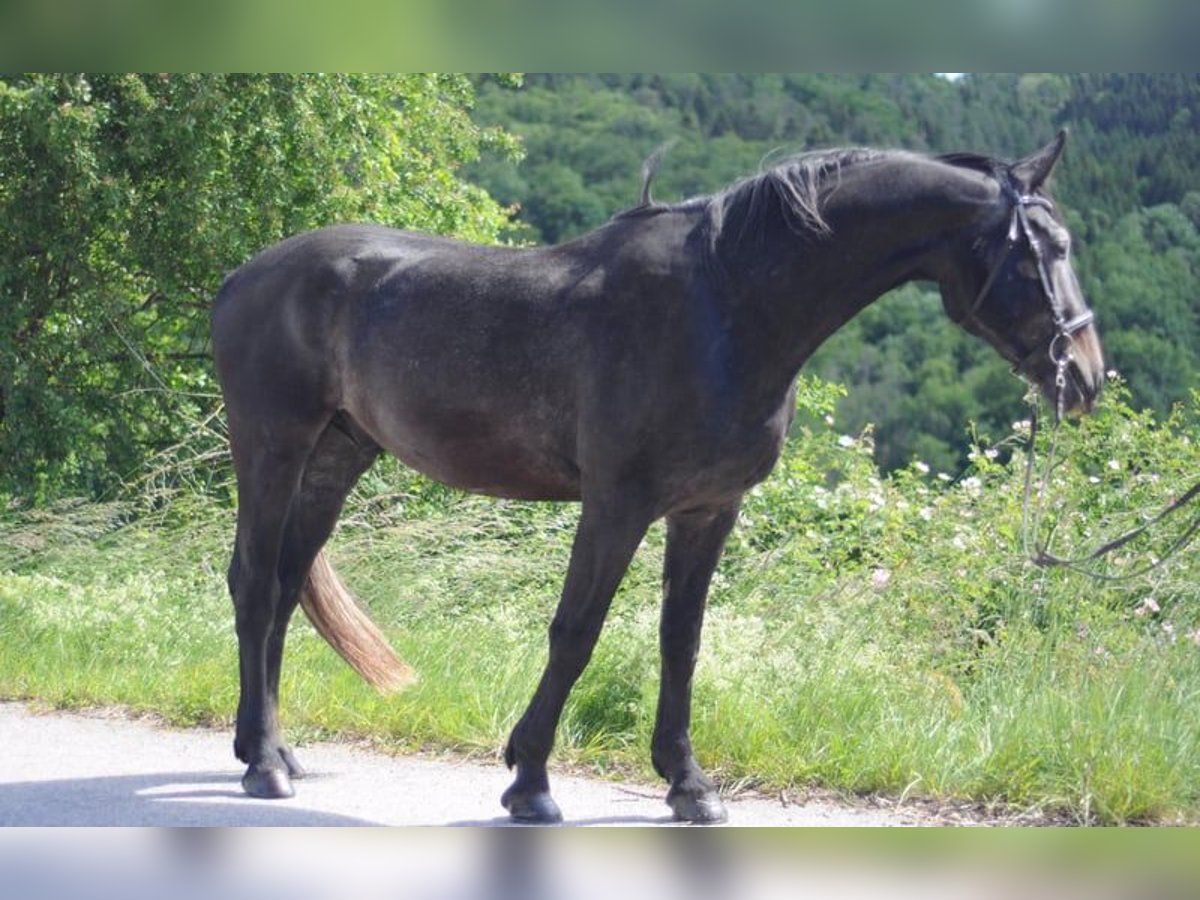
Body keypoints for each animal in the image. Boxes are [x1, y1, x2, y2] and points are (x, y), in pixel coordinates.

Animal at [211, 132, 1099, 825]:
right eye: (1044, 252)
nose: (1087, 377)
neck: (725, 310)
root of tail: (243, 277)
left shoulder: (708, 510)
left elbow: (682, 640)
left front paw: (688, 783)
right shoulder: (616, 505)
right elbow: (576, 633)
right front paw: (530, 780)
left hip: (335, 458)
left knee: (284, 588)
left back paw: (271, 746)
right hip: (273, 447)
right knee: (254, 583)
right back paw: (264, 767)